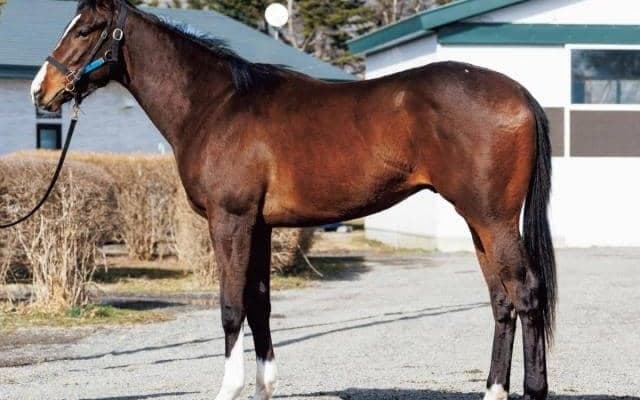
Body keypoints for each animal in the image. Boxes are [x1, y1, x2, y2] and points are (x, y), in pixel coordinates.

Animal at [31, 0, 556, 399]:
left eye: (86, 30)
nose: (41, 90)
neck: (216, 105)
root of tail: (520, 94)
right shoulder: (260, 225)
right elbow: (260, 303)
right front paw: (264, 387)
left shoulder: (230, 220)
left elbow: (231, 306)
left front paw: (230, 388)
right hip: (478, 222)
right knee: (502, 301)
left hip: (494, 219)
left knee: (526, 294)